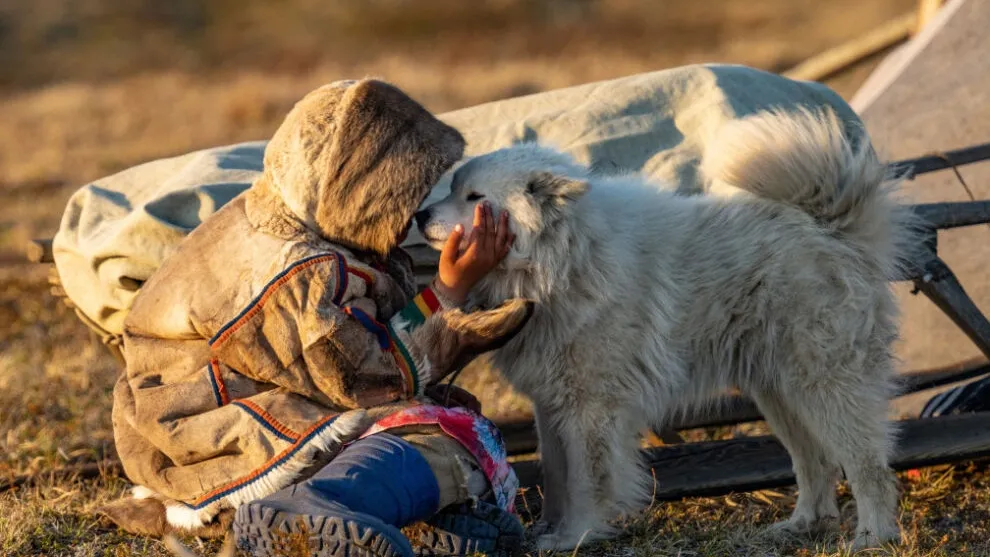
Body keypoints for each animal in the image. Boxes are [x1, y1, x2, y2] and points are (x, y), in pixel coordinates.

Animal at [414, 107, 920, 548]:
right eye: (452, 188)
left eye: (474, 198)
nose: (419, 216)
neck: (564, 258)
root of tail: (832, 229)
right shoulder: (552, 406)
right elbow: (556, 477)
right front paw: (548, 533)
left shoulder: (590, 411)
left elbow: (585, 481)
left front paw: (575, 536)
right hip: (781, 393)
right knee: (814, 463)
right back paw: (800, 525)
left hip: (824, 387)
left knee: (867, 466)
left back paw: (873, 537)